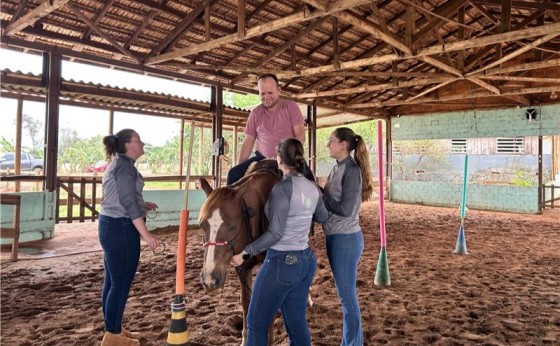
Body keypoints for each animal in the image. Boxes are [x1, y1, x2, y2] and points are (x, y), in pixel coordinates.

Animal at [199, 167, 282, 344]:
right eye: (202, 225)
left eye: (233, 226)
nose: (210, 279)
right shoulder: (243, 268)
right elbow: (246, 302)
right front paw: (245, 339)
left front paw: (270, 339)